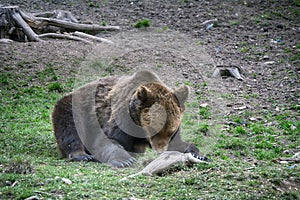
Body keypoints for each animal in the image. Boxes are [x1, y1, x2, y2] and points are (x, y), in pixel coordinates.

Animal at [52, 70, 206, 167]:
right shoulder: (119, 119)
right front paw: (125, 160)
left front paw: (197, 154)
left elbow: (179, 143)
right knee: (70, 127)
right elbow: (109, 140)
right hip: (78, 108)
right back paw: (81, 154)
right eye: (154, 129)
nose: (160, 151)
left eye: (171, 131)